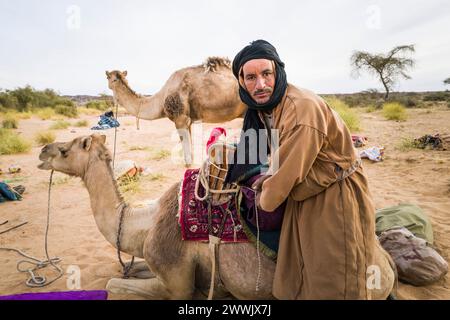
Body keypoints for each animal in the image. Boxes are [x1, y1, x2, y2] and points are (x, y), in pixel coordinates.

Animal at [38, 133, 398, 300]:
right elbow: (122, 271)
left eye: (68, 149)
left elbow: (114, 284)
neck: (145, 226)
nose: (43, 150)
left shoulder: (176, 279)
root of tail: (386, 265)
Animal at [106, 57, 246, 166]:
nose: (112, 81)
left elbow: (186, 152)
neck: (161, 99)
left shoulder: (180, 118)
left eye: (111, 78)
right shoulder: (188, 120)